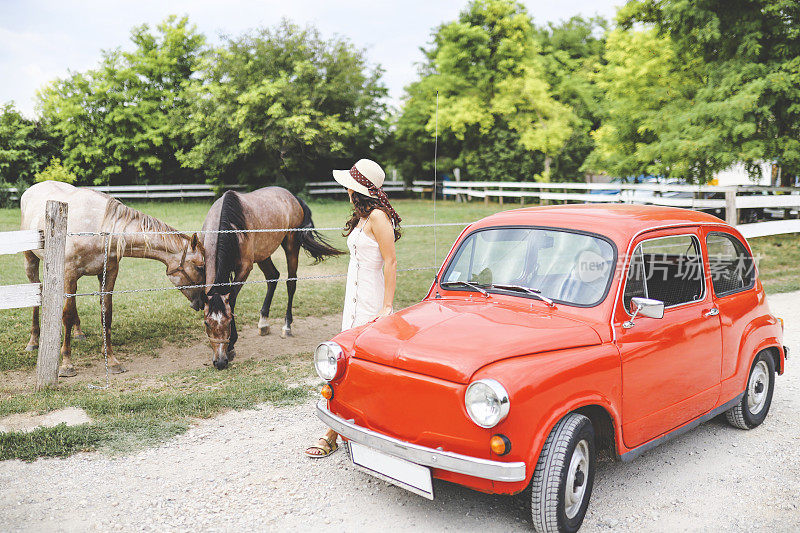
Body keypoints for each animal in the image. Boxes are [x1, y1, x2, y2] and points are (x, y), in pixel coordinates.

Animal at [20, 181, 206, 376]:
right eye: (200, 266)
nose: (202, 301)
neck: (100, 231)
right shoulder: (70, 274)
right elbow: (67, 316)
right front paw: (66, 363)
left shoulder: (108, 273)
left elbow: (106, 313)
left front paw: (111, 359)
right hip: (31, 261)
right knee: (36, 295)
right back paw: (33, 341)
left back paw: (79, 333)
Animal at [203, 185, 340, 368]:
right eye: (206, 323)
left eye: (229, 320)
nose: (220, 362)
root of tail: (292, 197)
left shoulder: (244, 269)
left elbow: (232, 301)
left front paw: (232, 345)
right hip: (263, 254)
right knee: (272, 276)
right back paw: (263, 323)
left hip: (291, 244)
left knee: (291, 282)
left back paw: (287, 327)